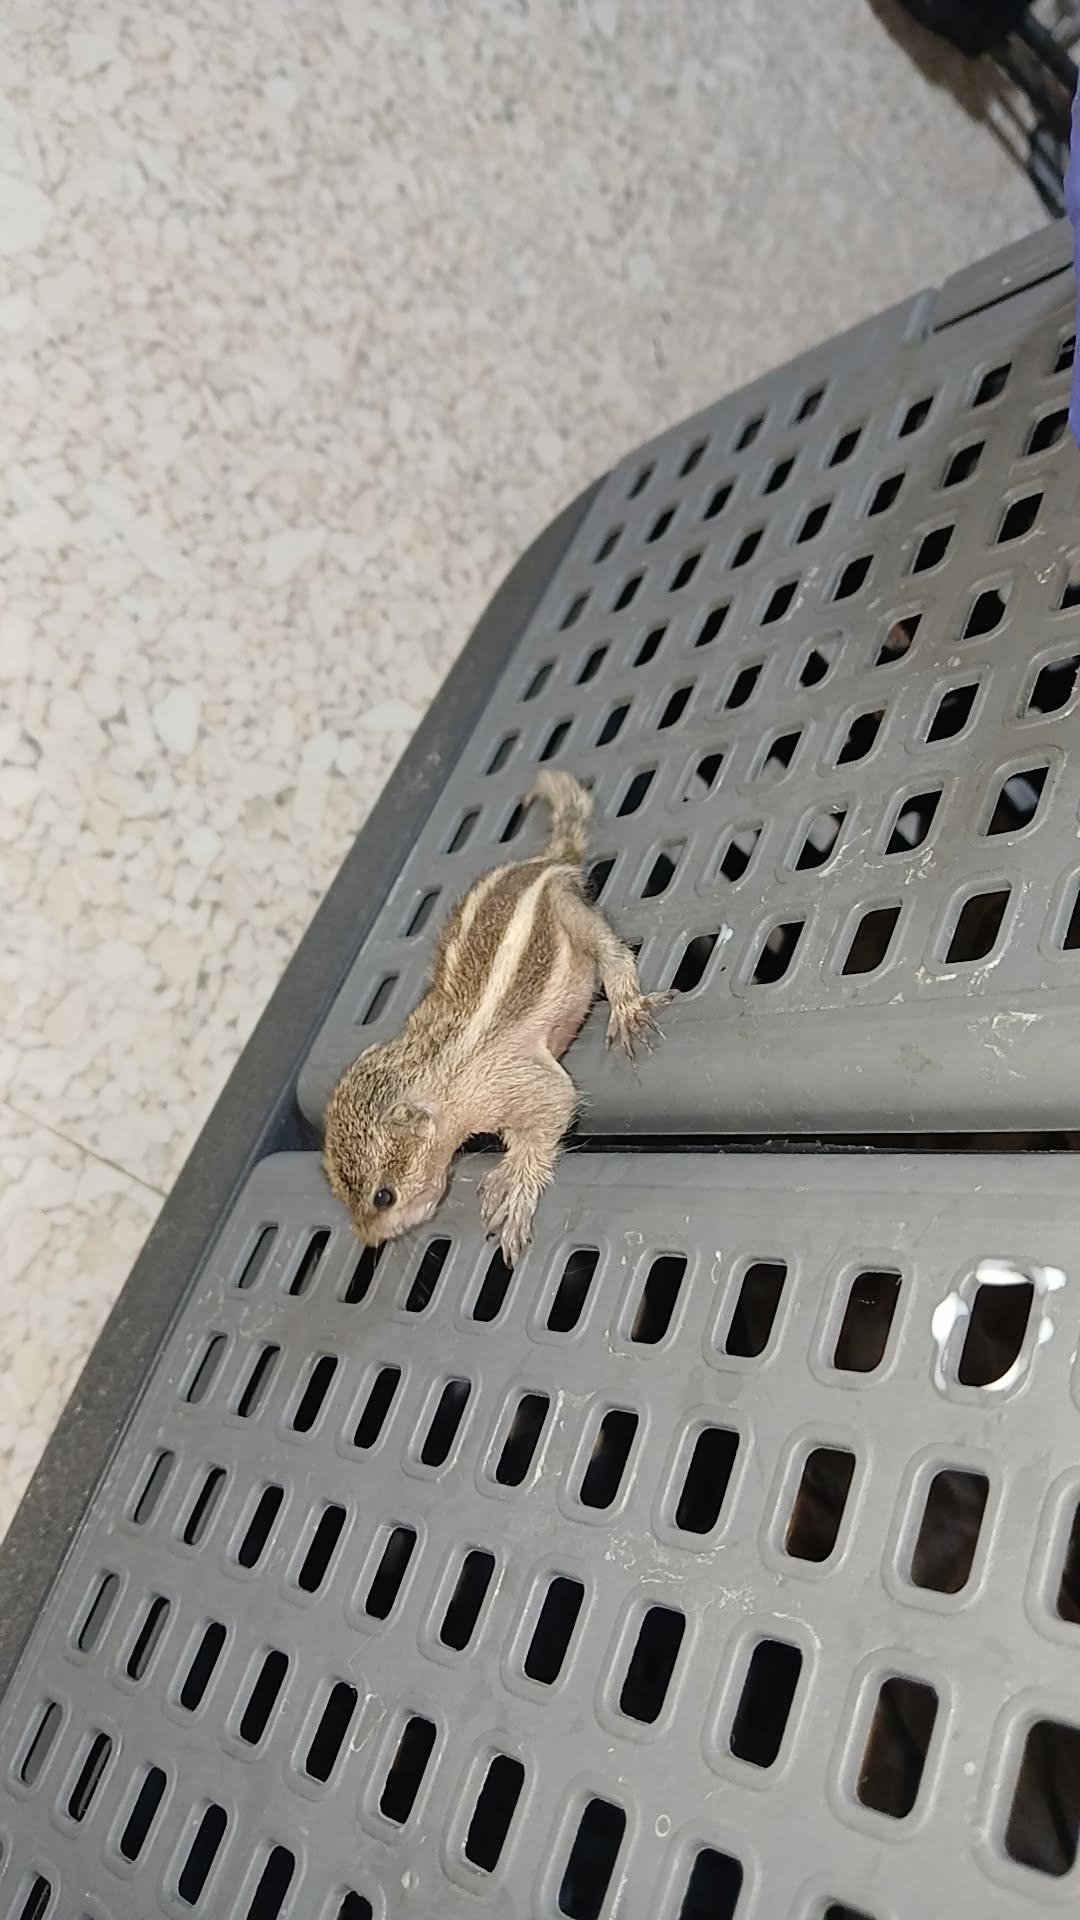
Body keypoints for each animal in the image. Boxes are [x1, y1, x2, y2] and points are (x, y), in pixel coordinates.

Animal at [323, 769, 669, 1265]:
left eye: (383, 1197)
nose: (369, 1239)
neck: (435, 1074)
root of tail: (543, 861)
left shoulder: (512, 1082)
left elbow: (555, 1103)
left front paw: (515, 1190)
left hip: (568, 909)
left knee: (611, 950)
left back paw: (626, 1006)